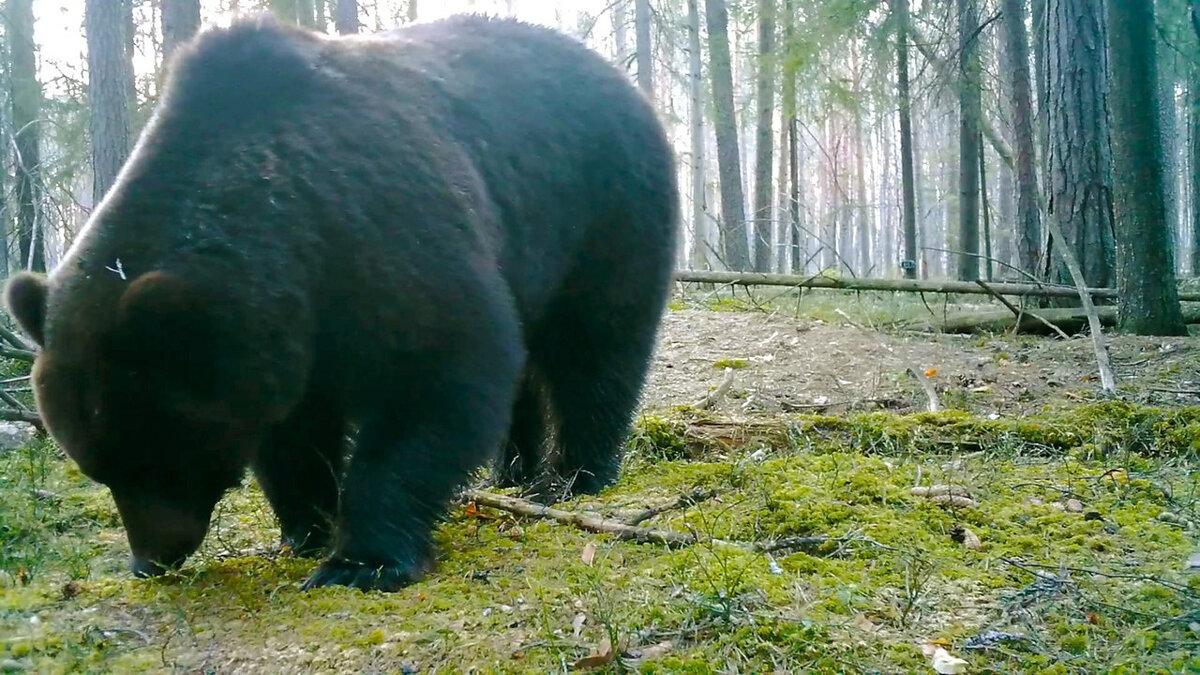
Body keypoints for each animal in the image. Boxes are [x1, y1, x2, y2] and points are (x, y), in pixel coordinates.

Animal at [2, 11, 676, 588]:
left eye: (157, 455)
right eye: (96, 466)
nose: (152, 557)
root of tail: (623, 79)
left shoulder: (382, 229)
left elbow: (437, 374)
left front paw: (361, 558)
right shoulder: (286, 327)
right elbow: (295, 429)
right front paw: (306, 526)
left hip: (601, 205)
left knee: (598, 345)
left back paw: (581, 474)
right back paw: (513, 471)